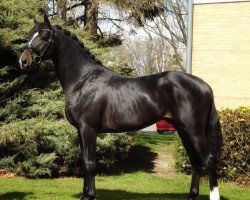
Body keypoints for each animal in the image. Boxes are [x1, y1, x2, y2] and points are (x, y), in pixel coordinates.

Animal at [20, 15, 223, 200]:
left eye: (45, 35)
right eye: (30, 34)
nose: (24, 61)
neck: (83, 80)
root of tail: (205, 85)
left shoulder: (88, 129)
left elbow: (90, 163)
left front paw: (89, 196)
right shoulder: (80, 130)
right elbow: (84, 162)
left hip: (194, 130)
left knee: (209, 159)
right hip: (182, 130)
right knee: (195, 160)